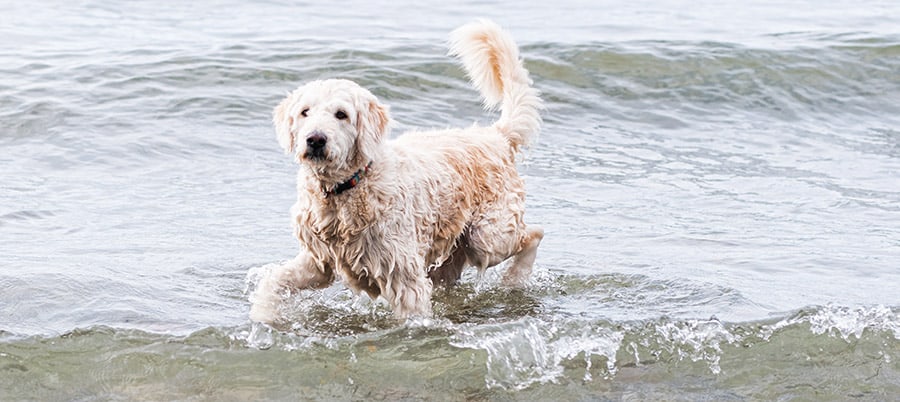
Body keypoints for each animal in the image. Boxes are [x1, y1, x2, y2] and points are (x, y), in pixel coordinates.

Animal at [248, 20, 540, 326]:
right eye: (305, 112)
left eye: (341, 114)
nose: (315, 139)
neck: (346, 189)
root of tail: (497, 135)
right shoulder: (317, 261)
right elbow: (274, 281)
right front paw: (263, 315)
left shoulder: (403, 275)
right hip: (451, 256)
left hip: (487, 236)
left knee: (533, 234)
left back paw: (515, 278)